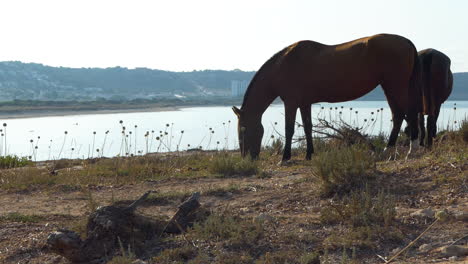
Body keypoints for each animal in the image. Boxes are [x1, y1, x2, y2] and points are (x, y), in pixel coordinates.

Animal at [233, 33, 420, 161]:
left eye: (243, 129)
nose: (247, 157)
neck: (283, 66)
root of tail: (406, 42)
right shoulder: (304, 103)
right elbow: (307, 127)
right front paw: (309, 154)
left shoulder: (291, 103)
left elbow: (289, 129)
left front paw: (285, 157)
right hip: (389, 87)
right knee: (399, 115)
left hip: (395, 86)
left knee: (405, 114)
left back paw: (405, 150)